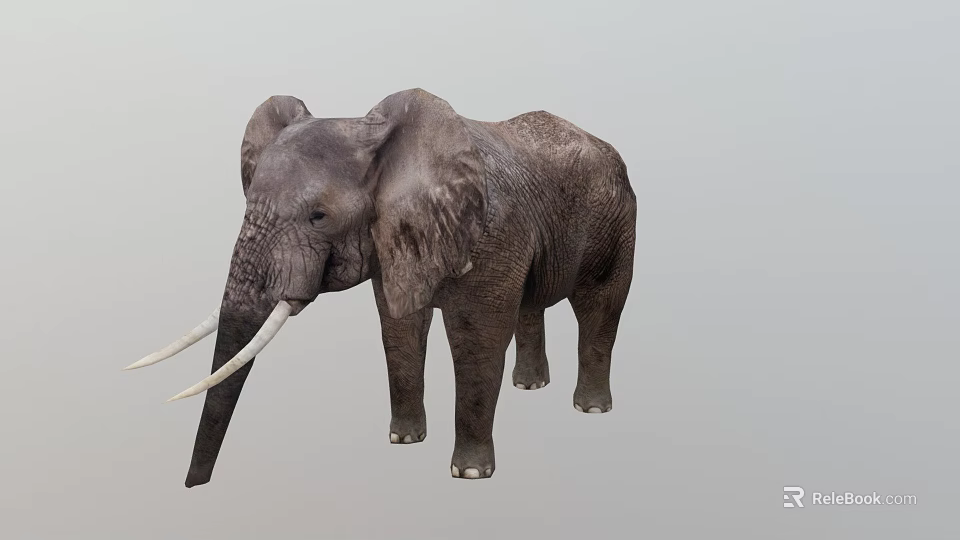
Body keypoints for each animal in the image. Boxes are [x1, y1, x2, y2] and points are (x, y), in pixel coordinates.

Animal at [127, 88, 637, 485]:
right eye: (248, 200)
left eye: (319, 216)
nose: (193, 485)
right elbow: (399, 327)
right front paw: (404, 440)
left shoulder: (494, 230)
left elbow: (477, 334)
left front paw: (469, 474)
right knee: (533, 305)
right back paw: (529, 387)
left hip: (616, 220)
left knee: (600, 304)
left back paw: (591, 410)